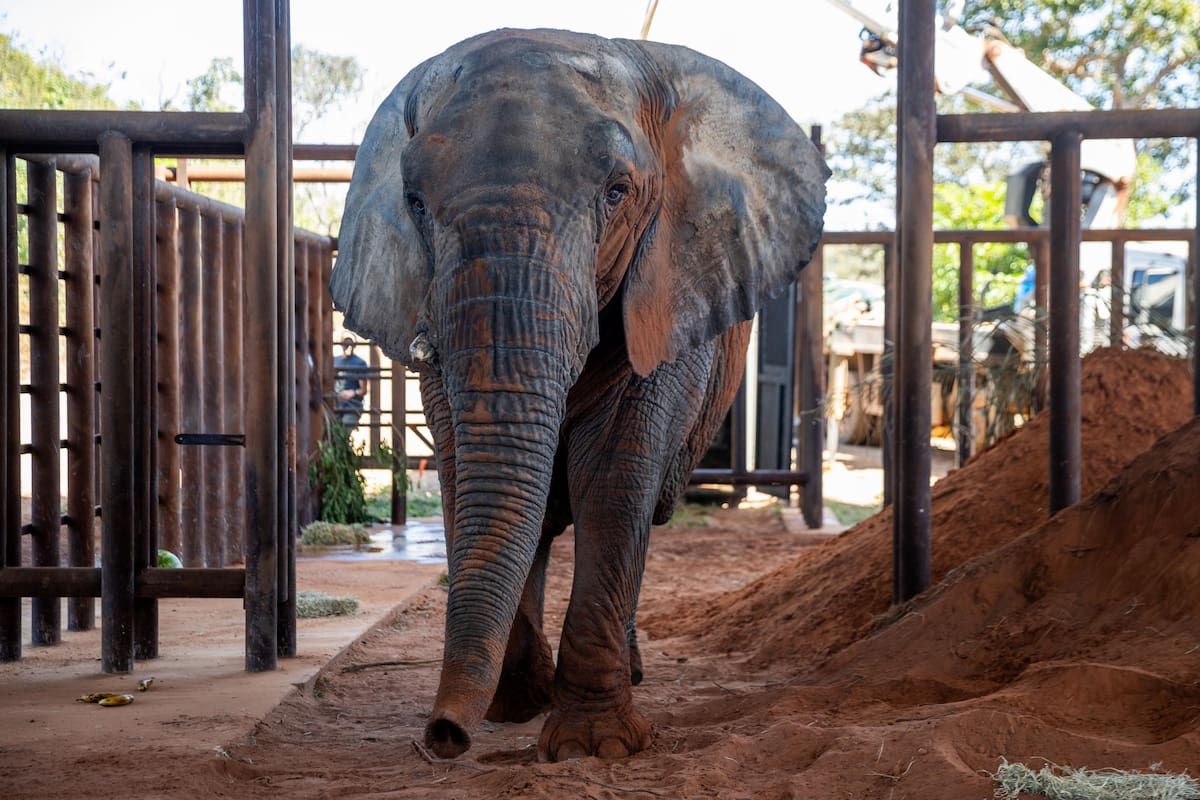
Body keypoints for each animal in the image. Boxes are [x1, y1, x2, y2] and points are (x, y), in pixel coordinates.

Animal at [330, 28, 828, 761]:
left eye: (618, 192)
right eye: (414, 201)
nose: (444, 735)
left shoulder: (667, 287)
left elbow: (613, 479)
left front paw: (592, 748)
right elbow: (464, 475)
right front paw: (517, 709)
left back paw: (630, 674)